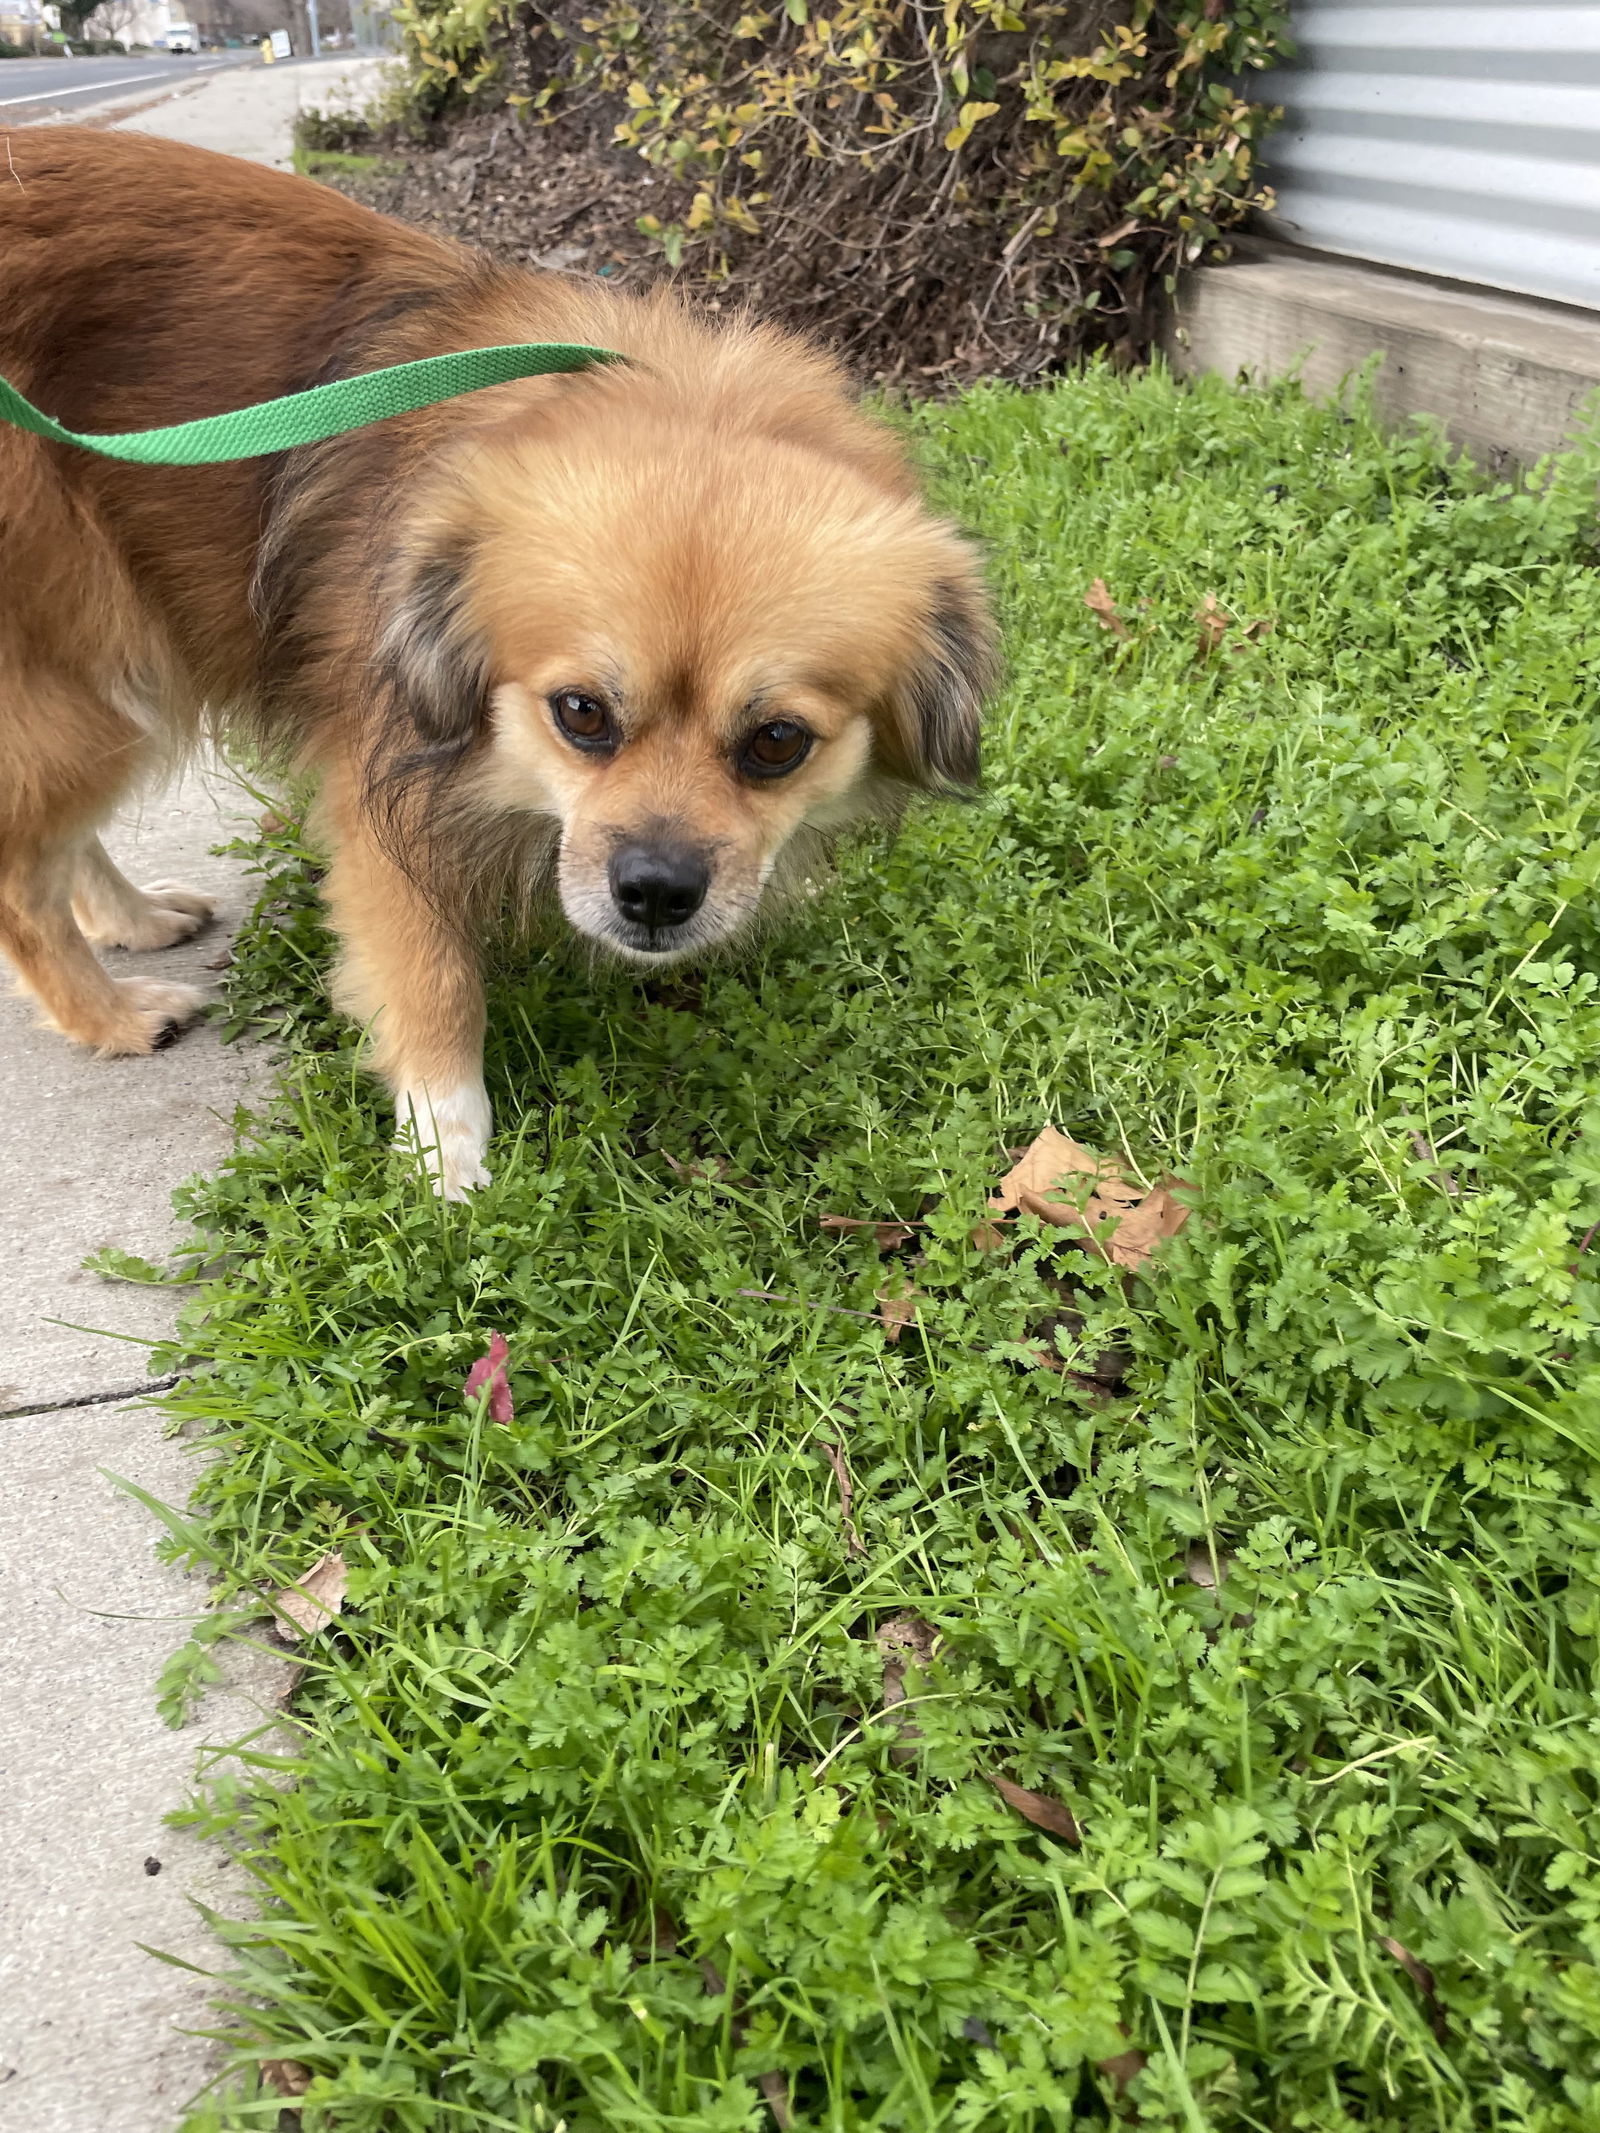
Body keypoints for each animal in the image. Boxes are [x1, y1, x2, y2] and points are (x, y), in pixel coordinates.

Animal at [0, 124, 998, 1203]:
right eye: (581, 713)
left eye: (778, 742)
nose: (655, 892)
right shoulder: (383, 797)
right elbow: (433, 980)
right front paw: (447, 1155)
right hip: (87, 681)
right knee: (22, 878)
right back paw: (113, 1014)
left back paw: (135, 918)